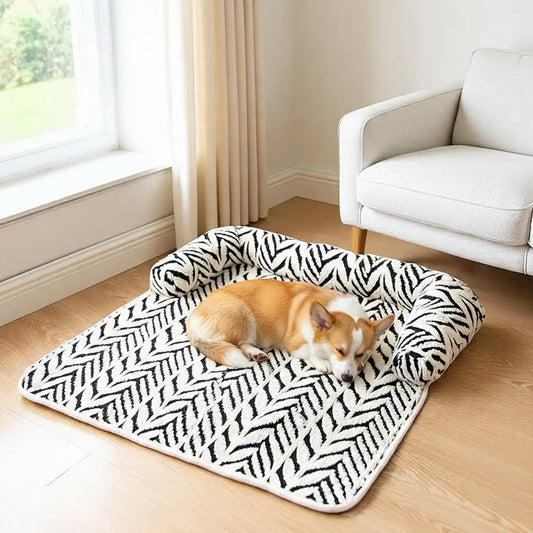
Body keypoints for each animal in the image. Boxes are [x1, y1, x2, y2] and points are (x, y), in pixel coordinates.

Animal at [186, 279, 394, 383]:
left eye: (360, 354)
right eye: (339, 350)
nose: (348, 379)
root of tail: (192, 318)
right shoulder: (294, 343)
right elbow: (310, 353)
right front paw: (321, 363)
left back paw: (256, 353)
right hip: (242, 315)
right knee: (235, 343)